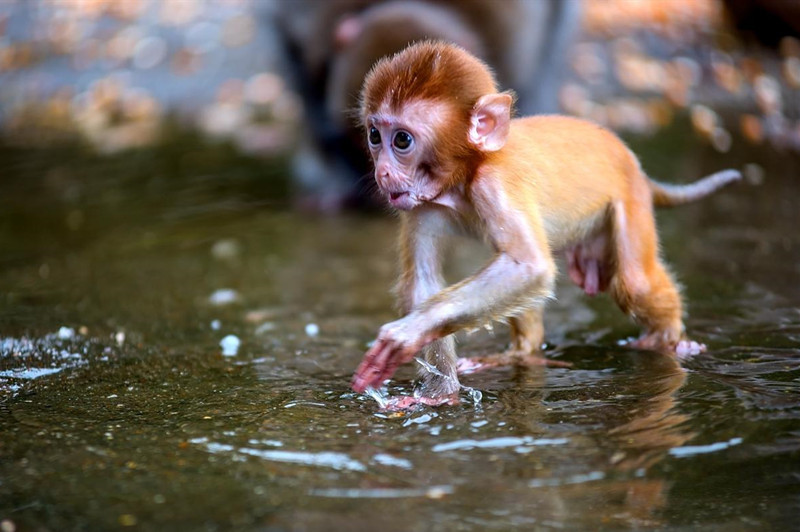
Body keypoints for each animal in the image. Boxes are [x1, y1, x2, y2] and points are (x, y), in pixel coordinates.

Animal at [354, 41, 740, 408]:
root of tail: (636, 165)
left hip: (630, 200)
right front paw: (439, 390)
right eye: (374, 135)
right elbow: (425, 283)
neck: (463, 175)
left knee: (634, 283)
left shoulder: (495, 183)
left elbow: (530, 267)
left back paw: (670, 340)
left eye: (401, 140)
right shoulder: (420, 205)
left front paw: (406, 336)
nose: (382, 171)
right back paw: (520, 354)